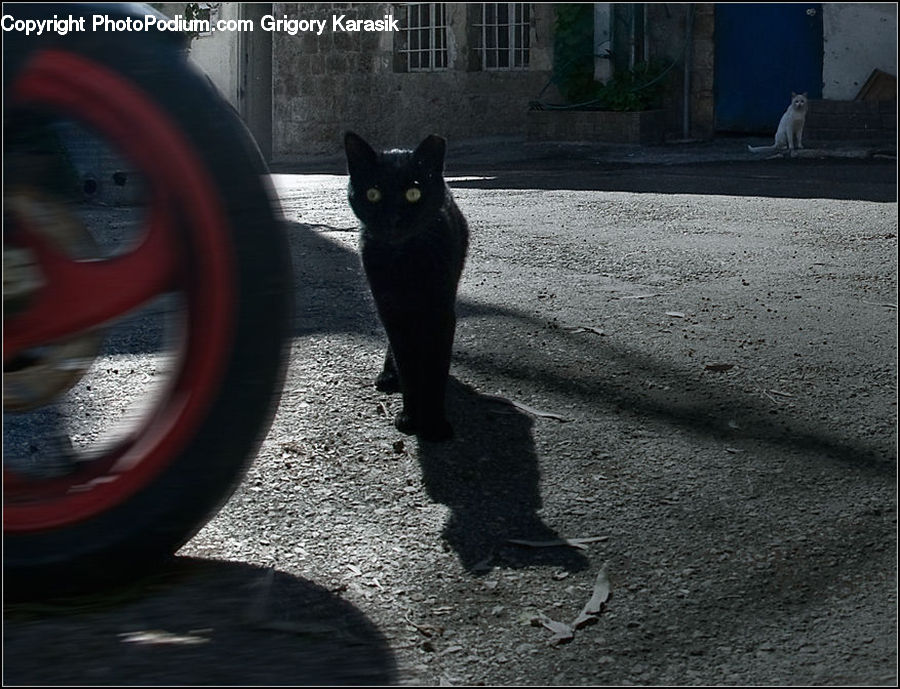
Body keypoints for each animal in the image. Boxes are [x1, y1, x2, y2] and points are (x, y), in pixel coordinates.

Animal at [344, 130, 472, 440]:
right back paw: (389, 375)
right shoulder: (390, 309)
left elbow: (436, 367)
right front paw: (411, 417)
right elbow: (407, 364)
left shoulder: (441, 311)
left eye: (413, 193)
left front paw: (435, 423)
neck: (404, 260)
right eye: (373, 194)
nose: (393, 219)